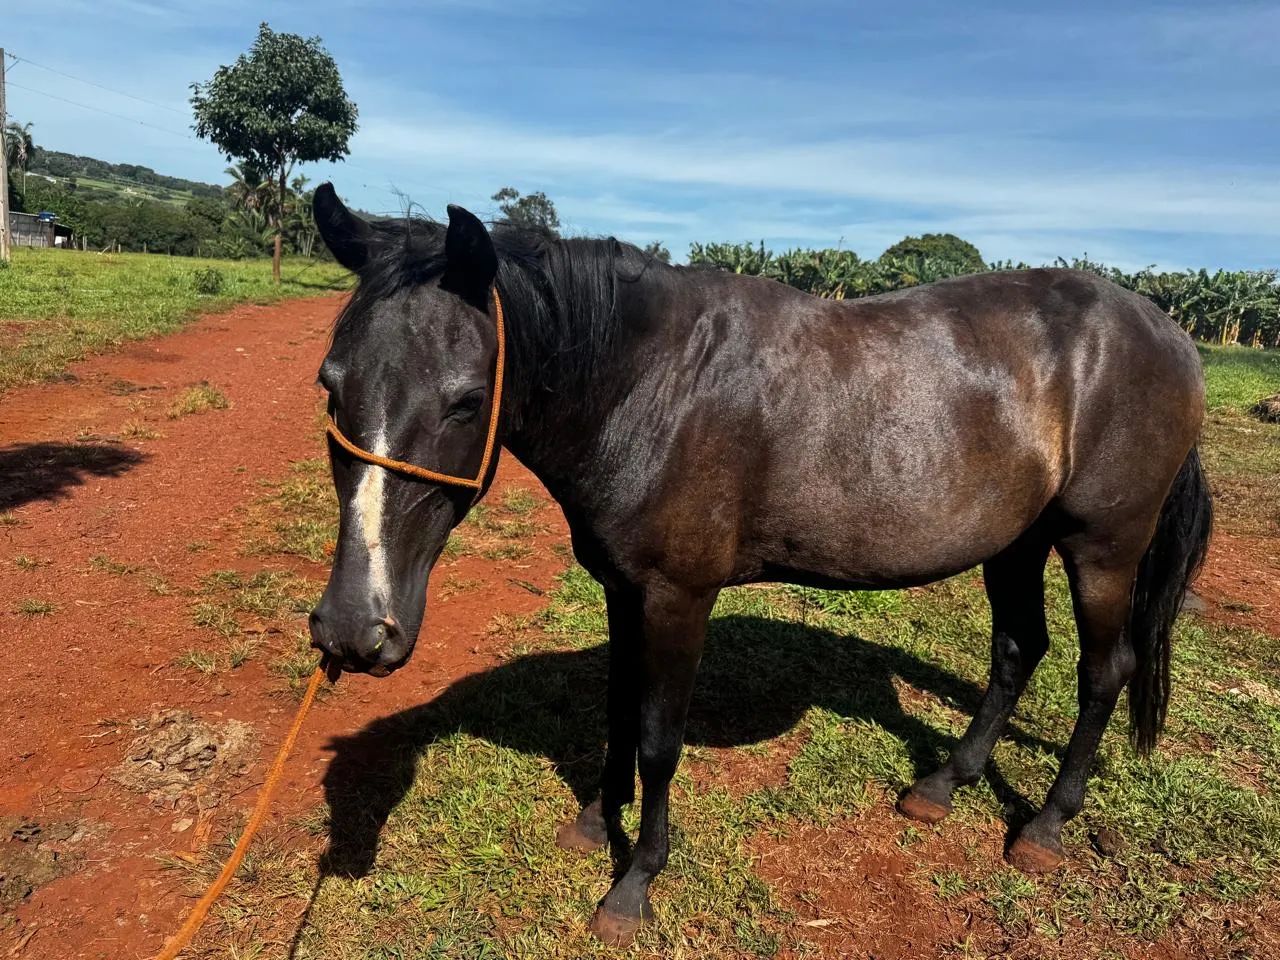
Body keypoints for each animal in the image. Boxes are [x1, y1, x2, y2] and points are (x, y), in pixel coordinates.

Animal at [307, 183, 1212, 946]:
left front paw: (634, 885)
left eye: (465, 399)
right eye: (329, 385)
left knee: (1104, 672)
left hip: (1103, 547)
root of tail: (1170, 333)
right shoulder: (624, 591)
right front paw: (598, 820)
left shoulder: (679, 597)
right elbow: (617, 711)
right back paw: (941, 786)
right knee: (1019, 651)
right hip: (1015, 542)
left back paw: (1048, 826)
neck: (651, 385)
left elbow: (658, 738)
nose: (353, 629)